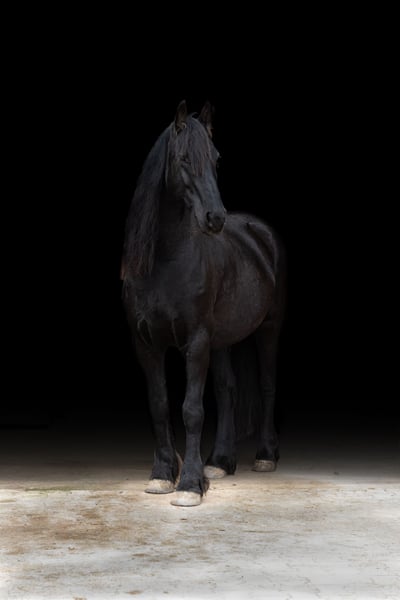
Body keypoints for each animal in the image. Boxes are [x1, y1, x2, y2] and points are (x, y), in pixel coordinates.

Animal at [120, 100, 286, 506]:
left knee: (267, 384)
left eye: (216, 159)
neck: (165, 261)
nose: (215, 218)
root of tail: (260, 232)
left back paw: (265, 456)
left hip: (269, 327)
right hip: (222, 339)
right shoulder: (146, 344)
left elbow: (192, 410)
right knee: (227, 390)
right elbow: (160, 405)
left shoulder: (195, 341)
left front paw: (190, 484)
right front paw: (163, 474)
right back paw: (220, 462)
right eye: (183, 159)